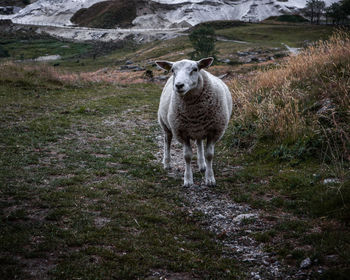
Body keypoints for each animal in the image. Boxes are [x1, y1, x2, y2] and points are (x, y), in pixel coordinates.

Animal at [156, 57, 232, 187]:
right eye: (172, 70)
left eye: (195, 69)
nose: (179, 85)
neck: (194, 112)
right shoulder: (181, 132)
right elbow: (187, 156)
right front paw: (188, 179)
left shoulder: (214, 131)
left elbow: (209, 155)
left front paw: (210, 178)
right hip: (165, 124)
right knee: (167, 141)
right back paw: (167, 163)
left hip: (199, 129)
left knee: (199, 143)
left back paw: (202, 165)